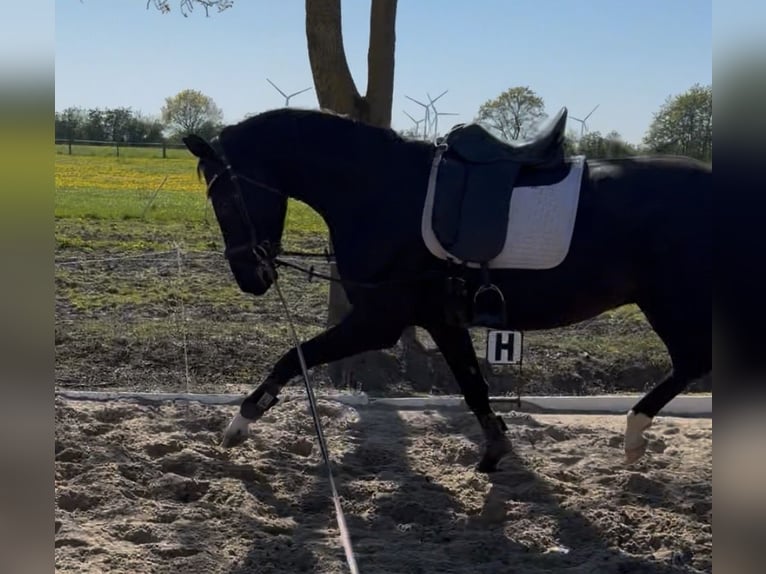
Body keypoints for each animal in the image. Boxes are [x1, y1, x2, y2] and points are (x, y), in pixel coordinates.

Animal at [182, 106, 711, 472]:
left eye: (224, 198)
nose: (251, 279)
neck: (379, 189)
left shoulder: (377, 321)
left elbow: (290, 358)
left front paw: (238, 425)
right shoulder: (442, 318)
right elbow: (472, 384)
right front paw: (495, 450)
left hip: (674, 303)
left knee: (692, 363)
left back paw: (635, 434)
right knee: (692, 365)